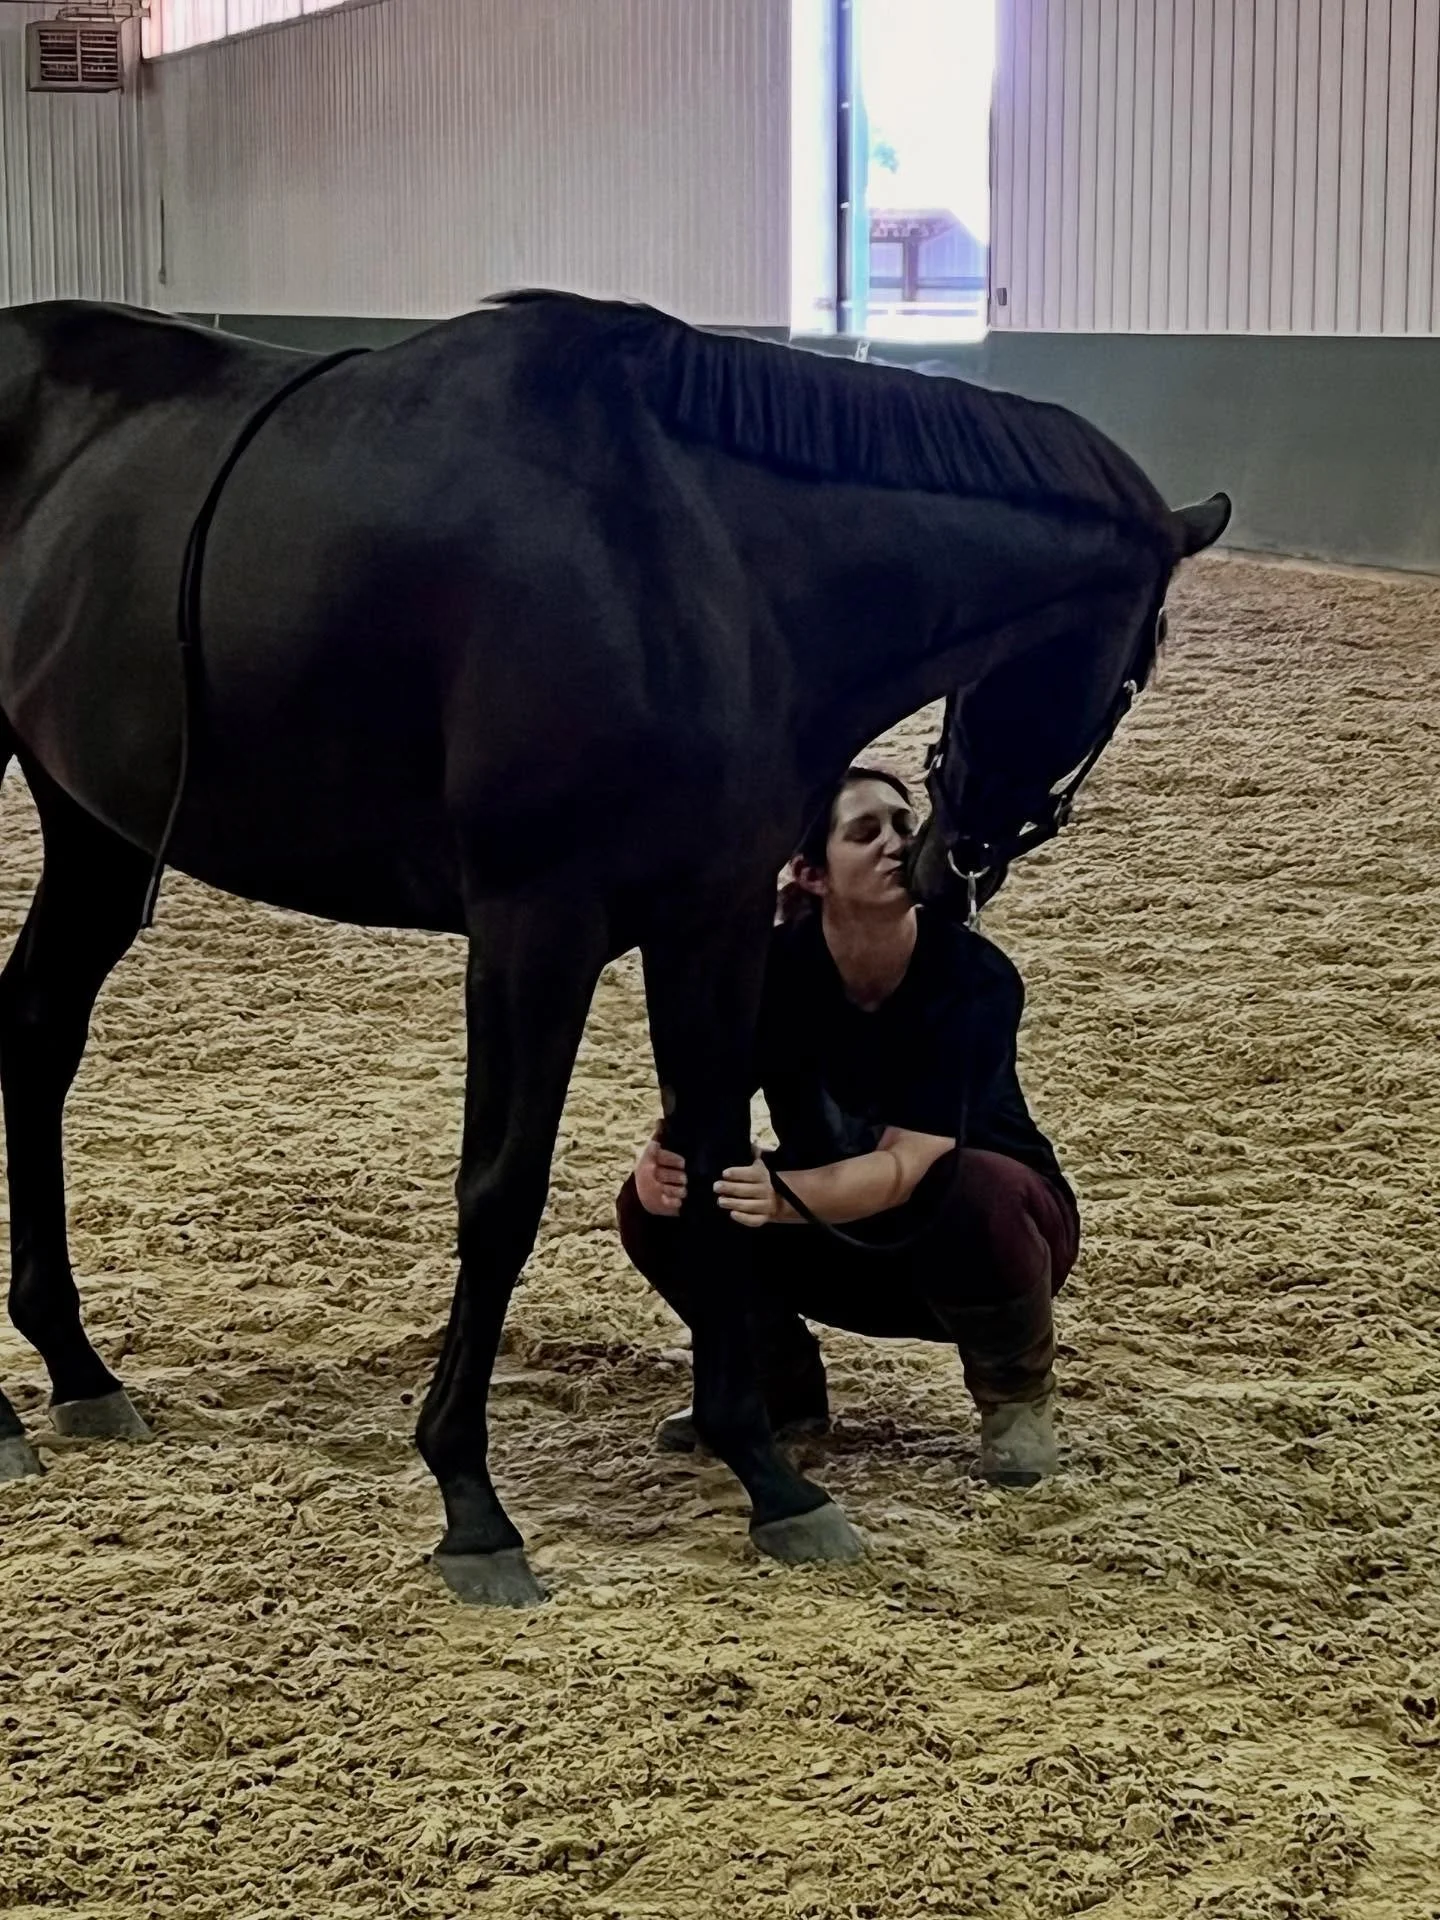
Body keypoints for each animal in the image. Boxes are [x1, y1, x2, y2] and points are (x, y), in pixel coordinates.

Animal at [0, 290, 1229, 1603]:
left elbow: (712, 1165)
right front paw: (470, 1501)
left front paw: (768, 1475)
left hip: (94, 821)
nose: (951, 857)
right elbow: (501, 1196)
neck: (695, 563)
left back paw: (75, 1373)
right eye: (1137, 666)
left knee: (36, 1033)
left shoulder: (713, 920)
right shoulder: (535, 929)